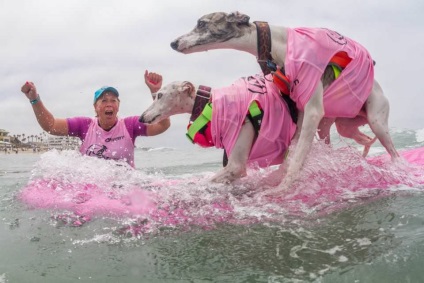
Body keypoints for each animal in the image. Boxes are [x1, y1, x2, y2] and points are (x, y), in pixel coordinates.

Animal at [170, 10, 400, 193]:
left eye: (201, 23)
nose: (173, 43)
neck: (279, 44)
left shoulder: (312, 109)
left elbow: (296, 159)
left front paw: (283, 188)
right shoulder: (300, 112)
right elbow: (293, 150)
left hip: (377, 121)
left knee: (394, 152)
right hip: (337, 126)